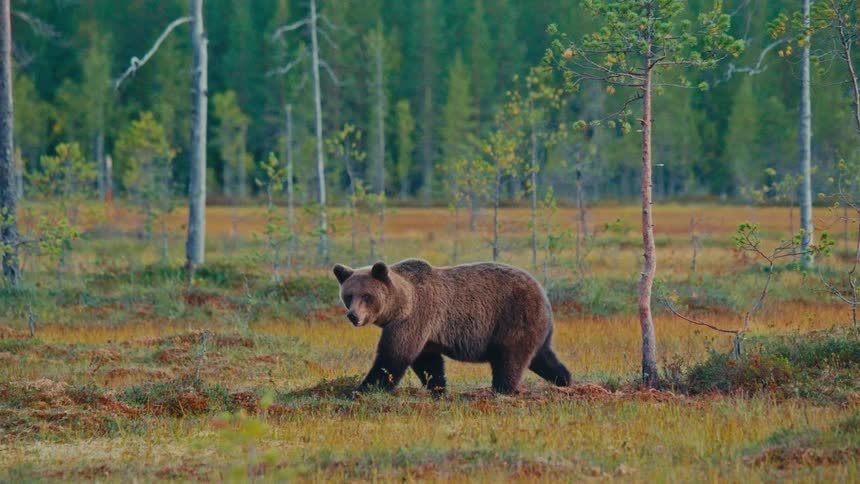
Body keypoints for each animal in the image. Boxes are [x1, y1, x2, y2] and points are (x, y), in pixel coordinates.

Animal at [332, 258, 571, 394]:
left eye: (366, 295)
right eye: (348, 295)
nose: (353, 316)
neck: (402, 305)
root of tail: (542, 291)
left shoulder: (415, 318)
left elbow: (393, 357)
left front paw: (363, 389)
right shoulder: (425, 332)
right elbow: (427, 362)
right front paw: (438, 388)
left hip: (513, 316)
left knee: (510, 356)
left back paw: (501, 389)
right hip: (534, 324)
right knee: (542, 355)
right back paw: (564, 379)